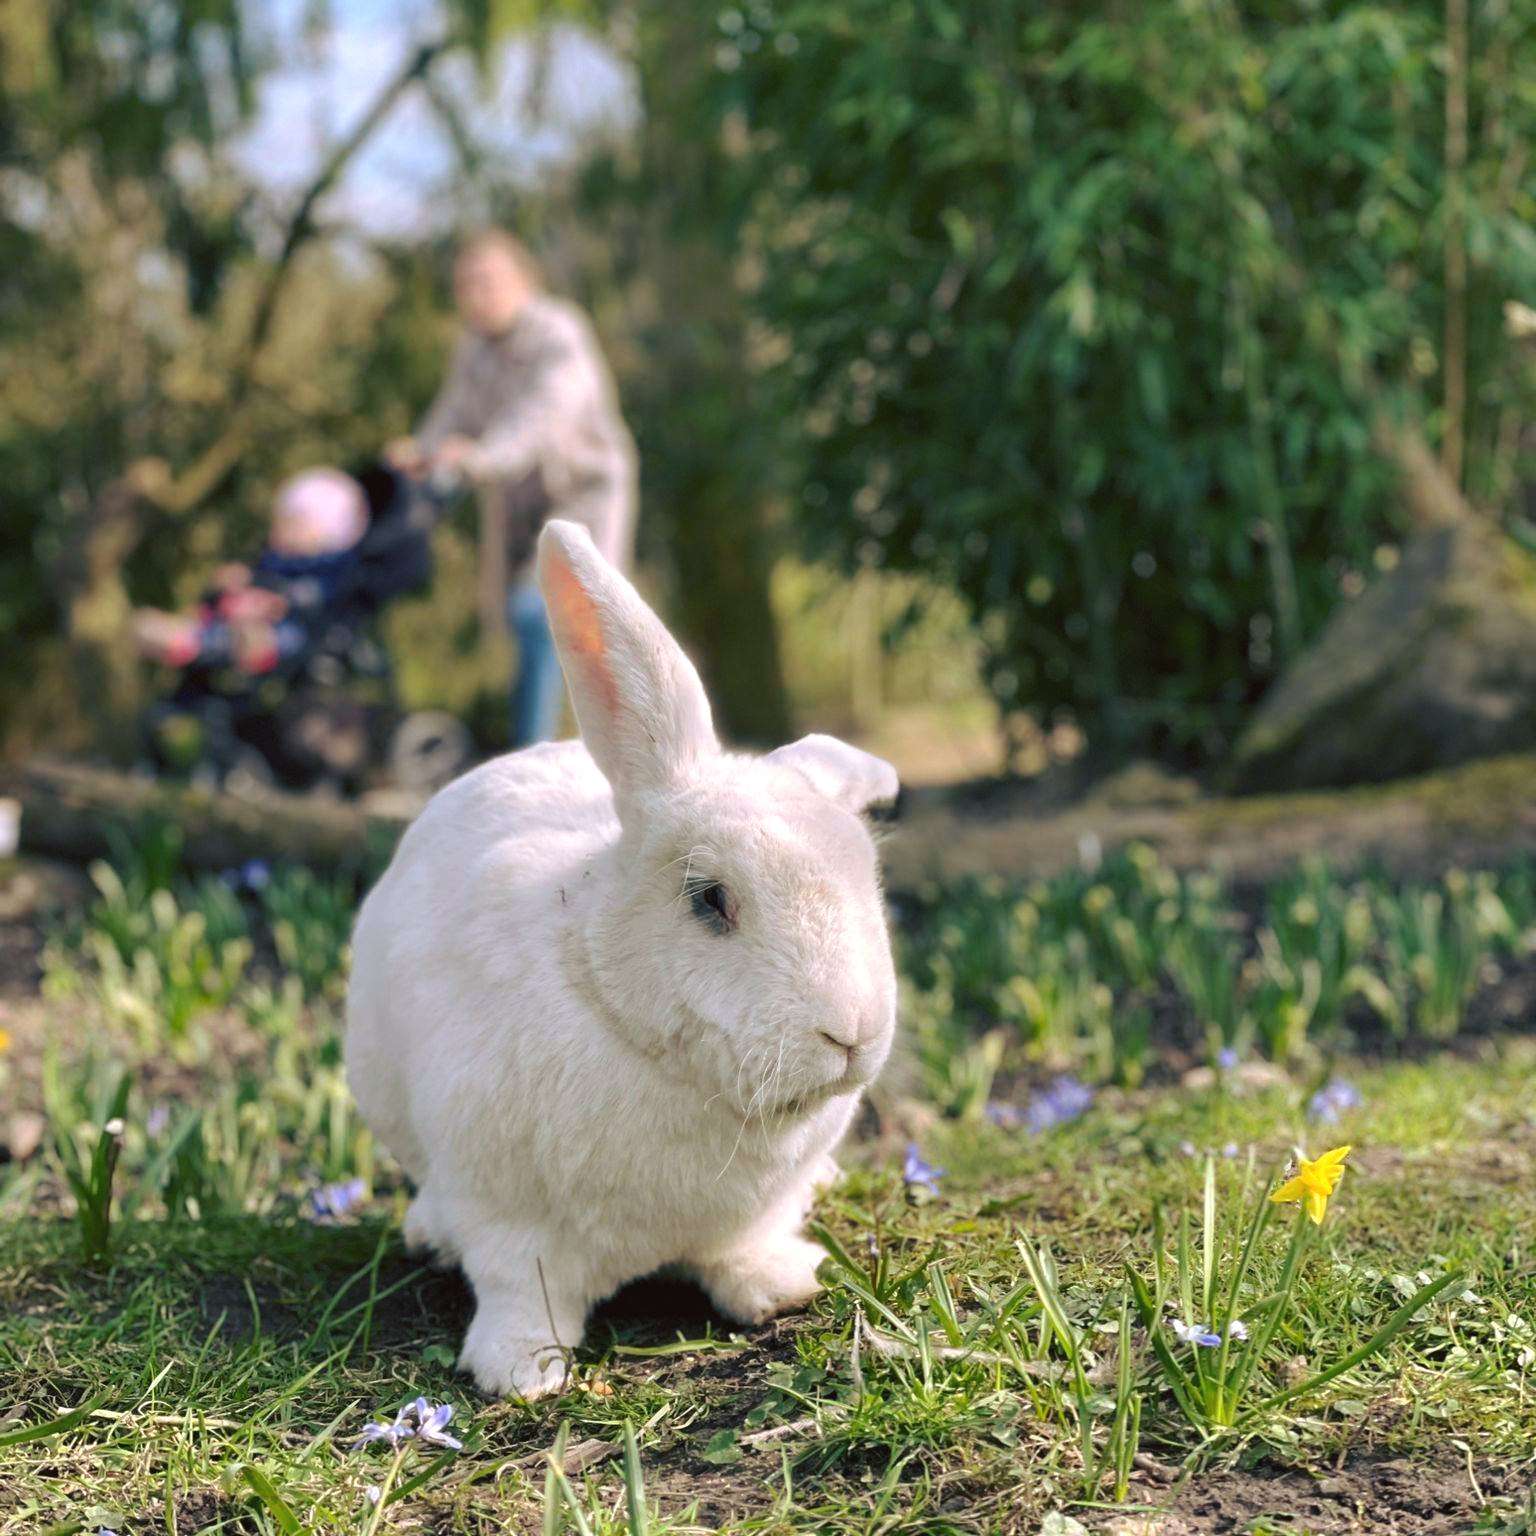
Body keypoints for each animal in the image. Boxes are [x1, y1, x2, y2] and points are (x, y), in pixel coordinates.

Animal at [348, 516, 897, 1394]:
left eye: (867, 877)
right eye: (710, 899)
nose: (850, 1032)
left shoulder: (755, 1211)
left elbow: (741, 1249)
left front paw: (780, 1288)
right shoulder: (503, 1216)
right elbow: (519, 1288)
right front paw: (520, 1372)